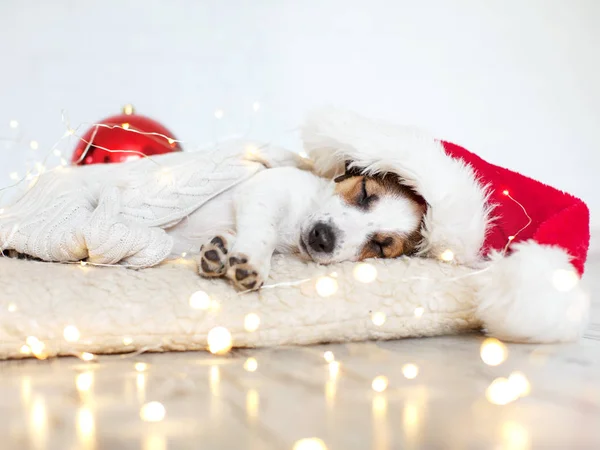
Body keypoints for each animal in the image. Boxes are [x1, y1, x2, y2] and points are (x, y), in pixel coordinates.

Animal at [170, 151, 426, 292]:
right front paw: (252, 261)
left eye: (380, 246)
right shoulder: (264, 188)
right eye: (364, 192)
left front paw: (222, 249)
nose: (322, 237)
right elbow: (266, 232)